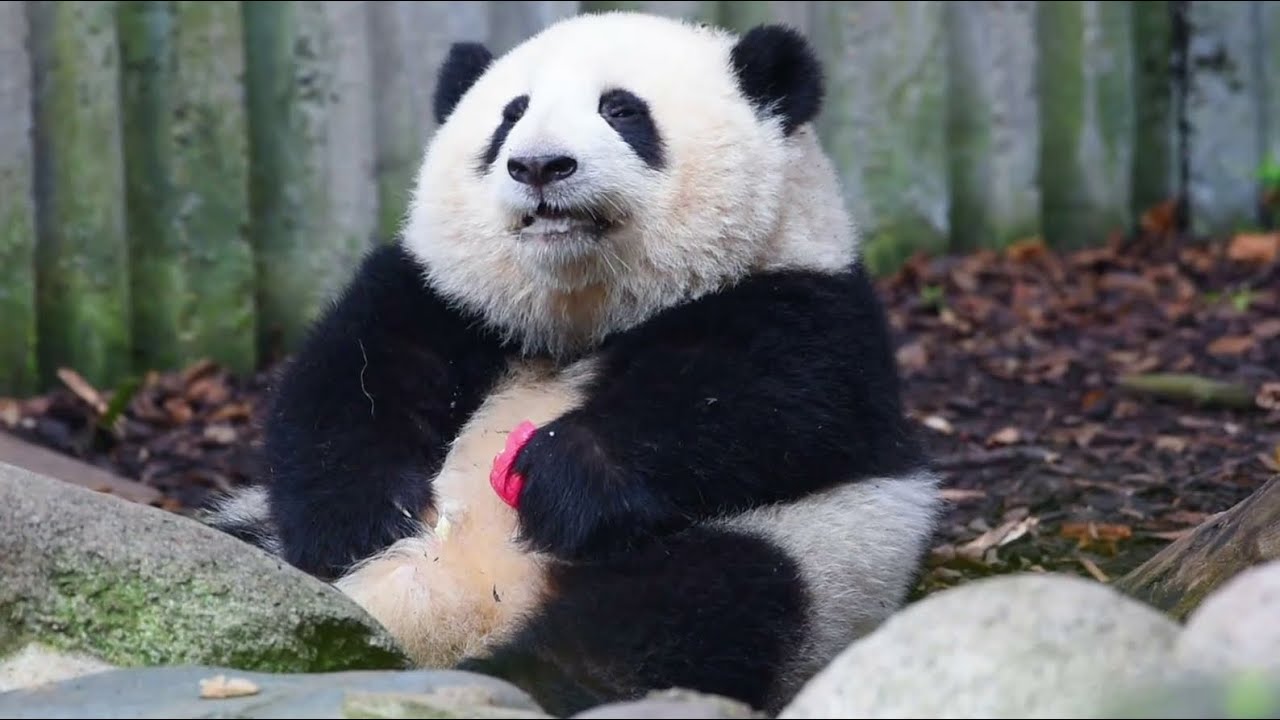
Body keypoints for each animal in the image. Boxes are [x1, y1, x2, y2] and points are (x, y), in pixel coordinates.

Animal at [204, 11, 941, 717]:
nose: (538, 166)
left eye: (622, 110)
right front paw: (365, 514)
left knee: (679, 614)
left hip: (806, 553)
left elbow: (779, 402)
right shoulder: (448, 295)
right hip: (253, 535)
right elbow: (349, 377)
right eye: (510, 115)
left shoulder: (808, 302)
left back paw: (504, 678)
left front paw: (564, 473)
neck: (582, 314)